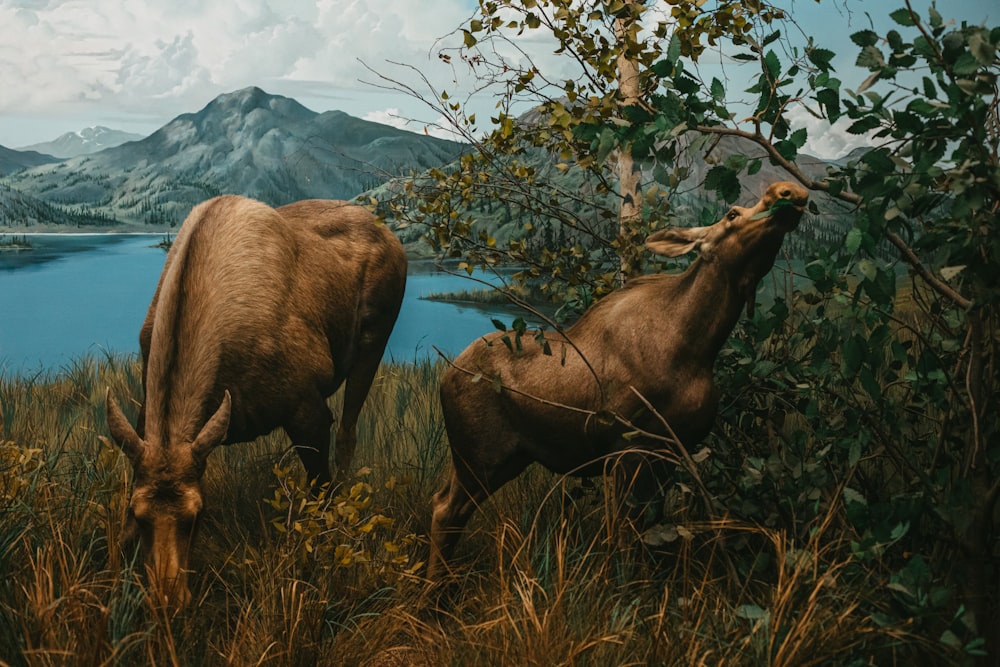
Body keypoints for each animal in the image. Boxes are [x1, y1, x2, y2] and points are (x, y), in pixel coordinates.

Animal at [105, 194, 406, 612]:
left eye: (197, 514)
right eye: (137, 513)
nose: (169, 601)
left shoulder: (307, 410)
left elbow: (320, 495)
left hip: (373, 342)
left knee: (349, 434)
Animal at [430, 180, 812, 576]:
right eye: (732, 213)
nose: (787, 190)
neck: (696, 344)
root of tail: (445, 375)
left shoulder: (669, 453)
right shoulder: (628, 448)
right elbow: (627, 537)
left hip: (507, 457)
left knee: (442, 502)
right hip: (480, 455)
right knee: (446, 510)